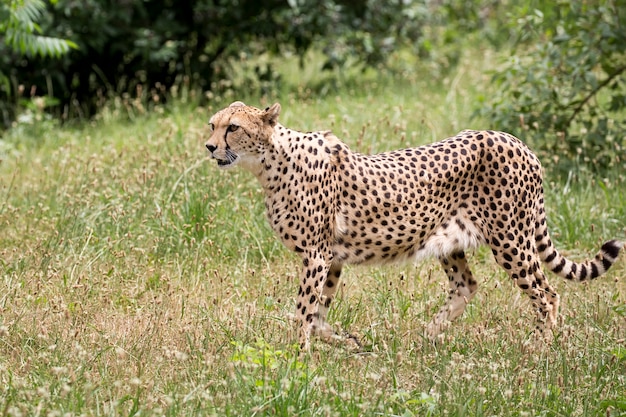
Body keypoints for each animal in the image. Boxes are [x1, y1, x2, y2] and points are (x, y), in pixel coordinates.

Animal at [204, 101, 620, 352]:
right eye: (212, 125)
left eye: (233, 128)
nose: (208, 147)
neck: (269, 163)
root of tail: (516, 141)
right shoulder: (331, 258)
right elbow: (318, 313)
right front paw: (346, 342)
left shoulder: (317, 255)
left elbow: (304, 310)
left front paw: (295, 356)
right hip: (449, 239)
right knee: (466, 286)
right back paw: (426, 335)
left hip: (511, 241)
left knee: (547, 294)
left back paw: (538, 346)